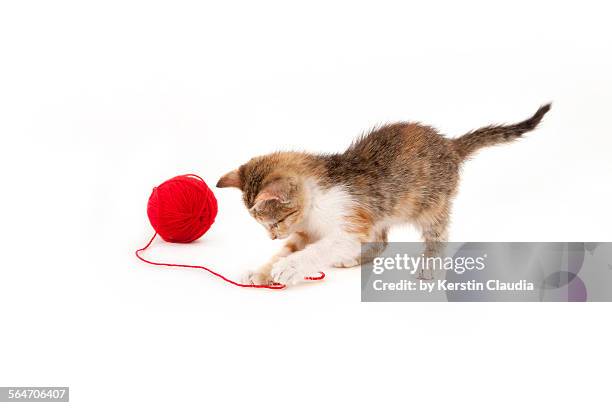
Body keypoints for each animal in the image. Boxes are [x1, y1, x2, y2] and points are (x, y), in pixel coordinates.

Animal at [218, 104, 552, 284]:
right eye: (265, 226)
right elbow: (289, 249)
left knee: (437, 235)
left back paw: (429, 266)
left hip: (431, 205)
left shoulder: (351, 222)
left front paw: (291, 267)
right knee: (382, 242)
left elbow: (322, 248)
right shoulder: (306, 231)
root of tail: (450, 146)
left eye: (274, 222)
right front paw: (263, 270)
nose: (271, 236)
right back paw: (352, 260)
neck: (315, 201)